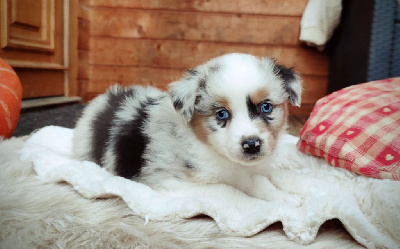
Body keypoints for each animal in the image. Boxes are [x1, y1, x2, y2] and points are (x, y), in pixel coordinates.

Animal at [72, 53, 304, 205]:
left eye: (266, 107)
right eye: (221, 114)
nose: (252, 145)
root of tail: (103, 100)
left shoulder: (259, 167)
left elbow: (270, 178)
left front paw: (290, 191)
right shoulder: (168, 181)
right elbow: (229, 189)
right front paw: (285, 198)